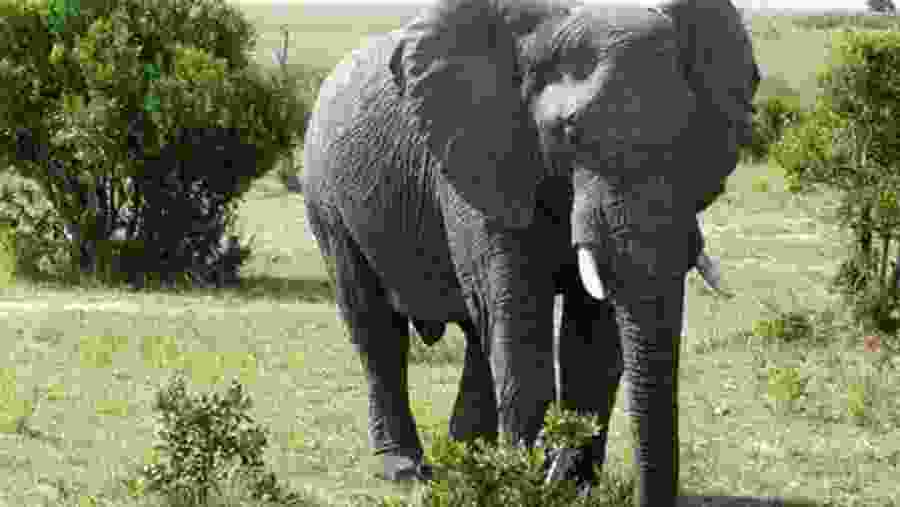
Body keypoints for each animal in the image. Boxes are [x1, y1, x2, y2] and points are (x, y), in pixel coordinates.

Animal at [301, 0, 759, 505]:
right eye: (569, 133)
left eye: (691, 133)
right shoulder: (480, 156)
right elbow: (521, 324)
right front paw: (528, 486)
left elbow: (593, 339)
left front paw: (574, 488)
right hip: (326, 197)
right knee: (376, 328)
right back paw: (407, 470)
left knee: (477, 333)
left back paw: (468, 461)